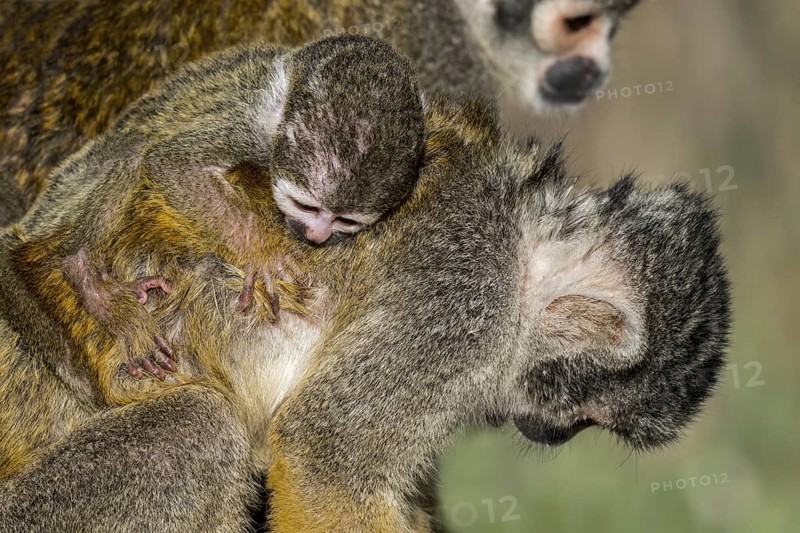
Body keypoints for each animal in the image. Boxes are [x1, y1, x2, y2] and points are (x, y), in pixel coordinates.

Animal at [0, 92, 729, 531]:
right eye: (582, 414)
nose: (556, 433)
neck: (525, 249)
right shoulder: (462, 296)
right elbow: (326, 459)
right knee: (196, 430)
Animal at [17, 33, 424, 388]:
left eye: (345, 220)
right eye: (306, 206)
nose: (316, 235)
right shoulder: (249, 129)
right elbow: (170, 163)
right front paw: (260, 251)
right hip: (72, 187)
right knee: (136, 148)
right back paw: (84, 273)